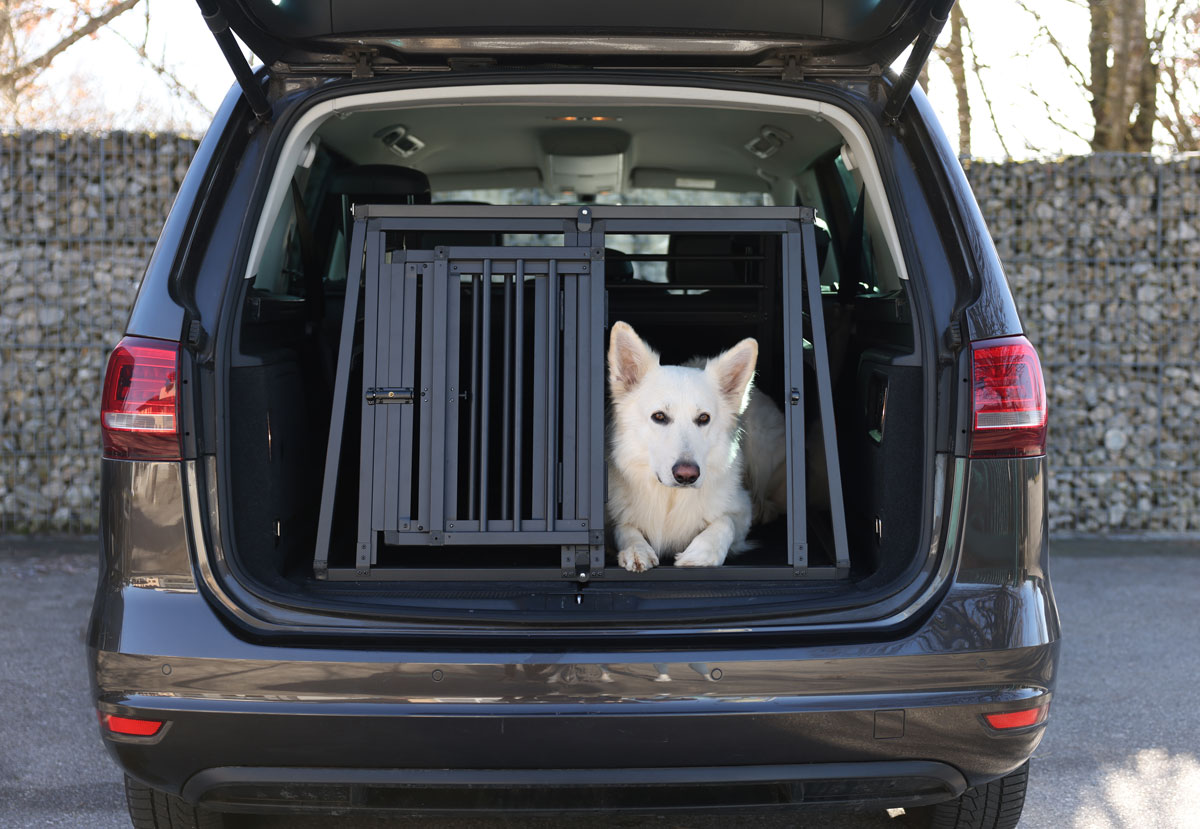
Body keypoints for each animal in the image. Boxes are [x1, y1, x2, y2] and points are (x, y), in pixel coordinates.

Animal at [609, 321, 787, 573]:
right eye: (659, 416)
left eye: (703, 418)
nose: (687, 475)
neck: (670, 499)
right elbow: (624, 527)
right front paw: (636, 549)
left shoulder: (740, 508)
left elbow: (725, 522)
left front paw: (702, 553)